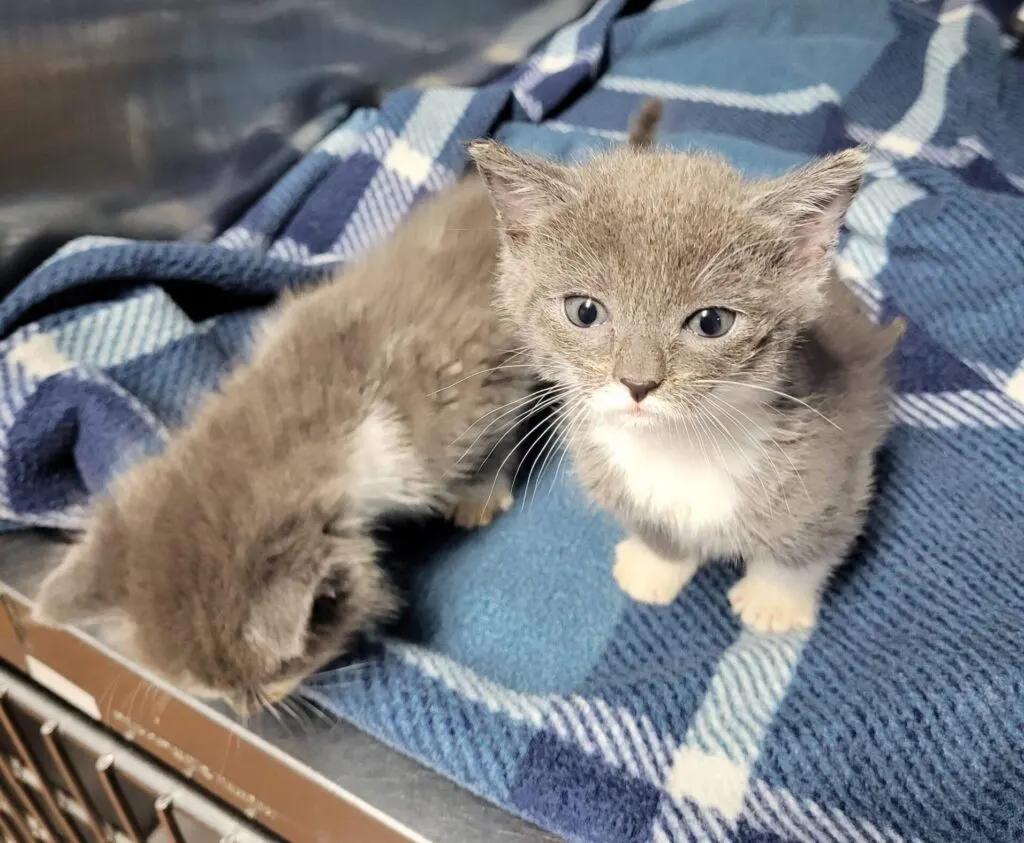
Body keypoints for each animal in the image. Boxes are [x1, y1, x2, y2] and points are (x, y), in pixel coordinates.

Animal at [32, 176, 536, 712]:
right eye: (212, 691)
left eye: (273, 676)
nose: (246, 708)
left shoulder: (471, 385)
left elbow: (496, 437)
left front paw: (478, 494)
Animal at [468, 138, 901, 630]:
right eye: (584, 311)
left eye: (712, 322)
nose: (638, 382)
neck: (677, 446)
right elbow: (656, 531)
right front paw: (656, 567)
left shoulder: (832, 461)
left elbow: (808, 543)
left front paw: (774, 602)